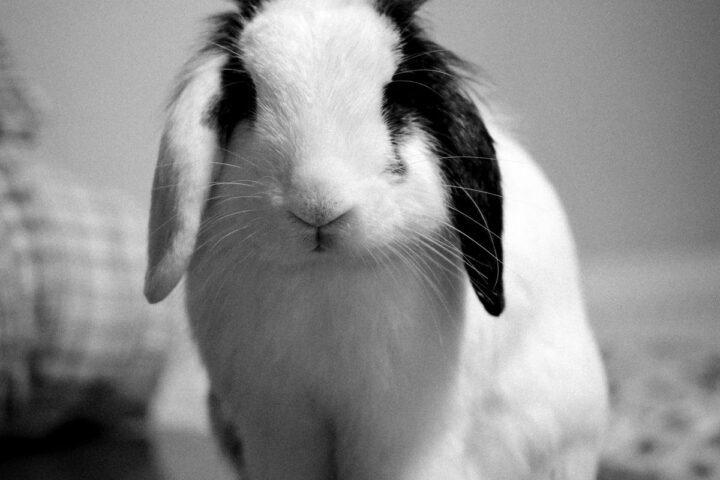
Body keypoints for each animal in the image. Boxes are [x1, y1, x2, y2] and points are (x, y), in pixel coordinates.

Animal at [144, 0, 608, 478]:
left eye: (395, 98)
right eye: (247, 95)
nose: (318, 205)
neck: (325, 274)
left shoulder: (402, 431)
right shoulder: (278, 427)